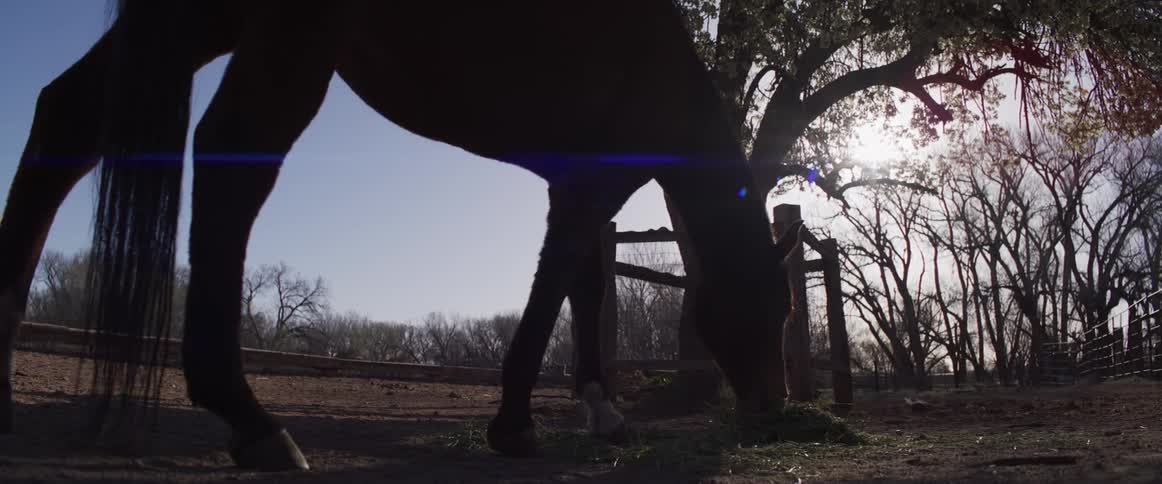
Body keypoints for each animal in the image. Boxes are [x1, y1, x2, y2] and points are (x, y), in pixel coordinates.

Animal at [0, 0, 803, 471]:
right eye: (768, 308)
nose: (775, 412)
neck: (655, 68)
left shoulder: (579, 188)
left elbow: (584, 287)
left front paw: (601, 408)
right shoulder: (582, 187)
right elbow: (554, 289)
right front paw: (515, 423)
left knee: (67, 116)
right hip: (294, 36)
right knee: (235, 159)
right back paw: (252, 421)